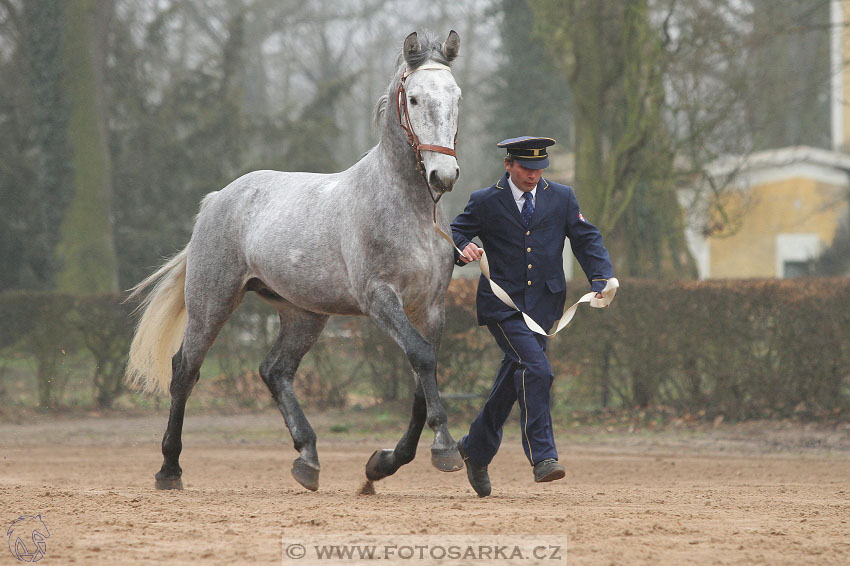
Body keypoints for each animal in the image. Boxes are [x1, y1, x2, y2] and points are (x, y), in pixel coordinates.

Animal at [127, 31, 464, 492]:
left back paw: (307, 457)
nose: (443, 176)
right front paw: (445, 448)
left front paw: (384, 463)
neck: (406, 208)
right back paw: (169, 469)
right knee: (185, 371)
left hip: (303, 314)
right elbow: (422, 358)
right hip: (212, 302)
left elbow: (420, 375)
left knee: (274, 371)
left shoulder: (431, 306)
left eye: (456, 96)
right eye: (413, 98)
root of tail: (217, 199)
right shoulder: (380, 298)